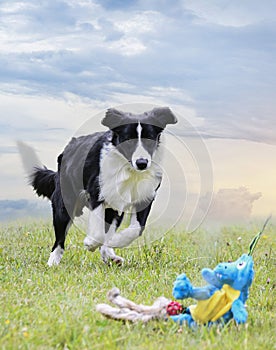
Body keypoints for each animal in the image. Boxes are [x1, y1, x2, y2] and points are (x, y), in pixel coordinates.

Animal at [30, 106, 177, 266]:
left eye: (149, 138)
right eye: (128, 139)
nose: (142, 163)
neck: (130, 170)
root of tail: (68, 148)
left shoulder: (144, 197)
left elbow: (136, 229)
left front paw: (115, 241)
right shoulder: (97, 193)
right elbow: (99, 233)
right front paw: (90, 243)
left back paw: (111, 255)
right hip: (65, 200)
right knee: (60, 238)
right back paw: (53, 262)